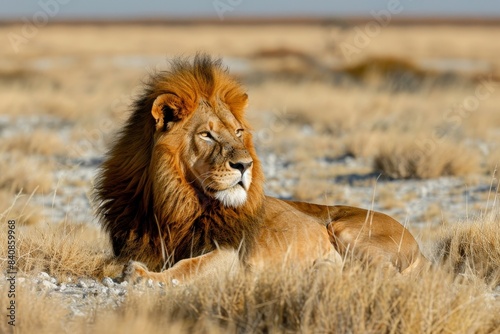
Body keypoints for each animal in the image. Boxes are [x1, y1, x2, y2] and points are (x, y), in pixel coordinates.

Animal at [94, 54, 430, 284]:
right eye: (207, 135)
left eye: (238, 132)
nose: (245, 165)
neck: (176, 204)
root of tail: (420, 247)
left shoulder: (231, 253)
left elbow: (189, 267)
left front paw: (142, 275)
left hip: (346, 230)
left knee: (379, 275)